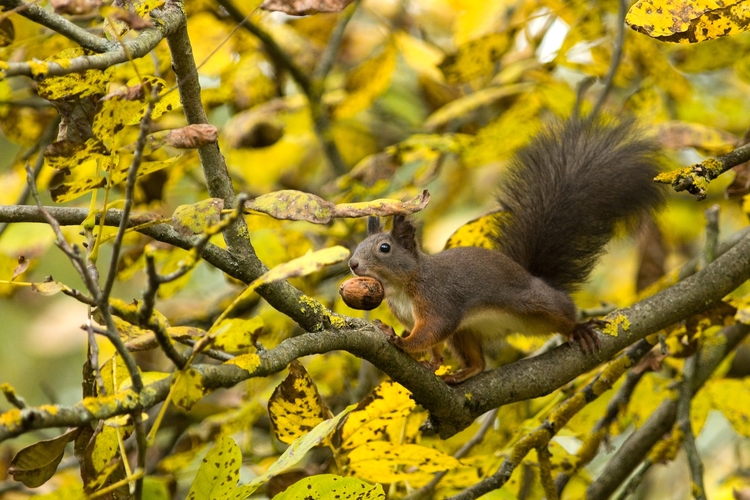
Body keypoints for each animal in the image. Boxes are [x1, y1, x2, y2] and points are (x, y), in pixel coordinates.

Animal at [350, 116, 668, 382]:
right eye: (357, 247)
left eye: (384, 248)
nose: (352, 264)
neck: (403, 285)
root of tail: (536, 278)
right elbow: (435, 342)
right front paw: (433, 362)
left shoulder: (437, 300)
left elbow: (433, 330)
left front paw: (400, 341)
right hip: (467, 332)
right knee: (478, 363)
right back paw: (463, 373)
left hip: (535, 304)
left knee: (562, 313)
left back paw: (578, 329)